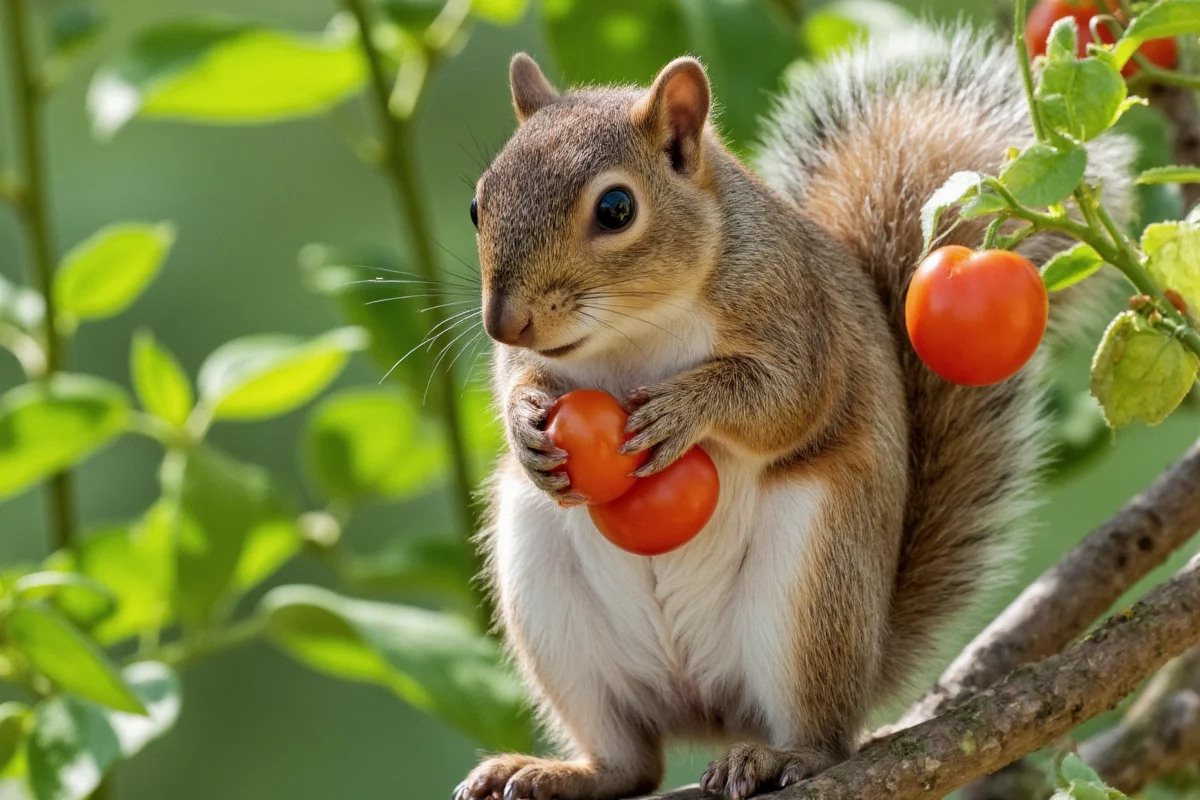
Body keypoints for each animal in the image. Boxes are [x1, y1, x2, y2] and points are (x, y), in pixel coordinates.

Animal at [456, 26, 1133, 800]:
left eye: (617, 209)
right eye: (478, 203)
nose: (504, 320)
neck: (634, 329)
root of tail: (706, 707)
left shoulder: (797, 314)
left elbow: (788, 402)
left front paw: (684, 408)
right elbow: (515, 378)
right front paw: (525, 421)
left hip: (813, 581)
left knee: (824, 737)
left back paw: (783, 757)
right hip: (545, 585)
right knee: (631, 763)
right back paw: (561, 772)